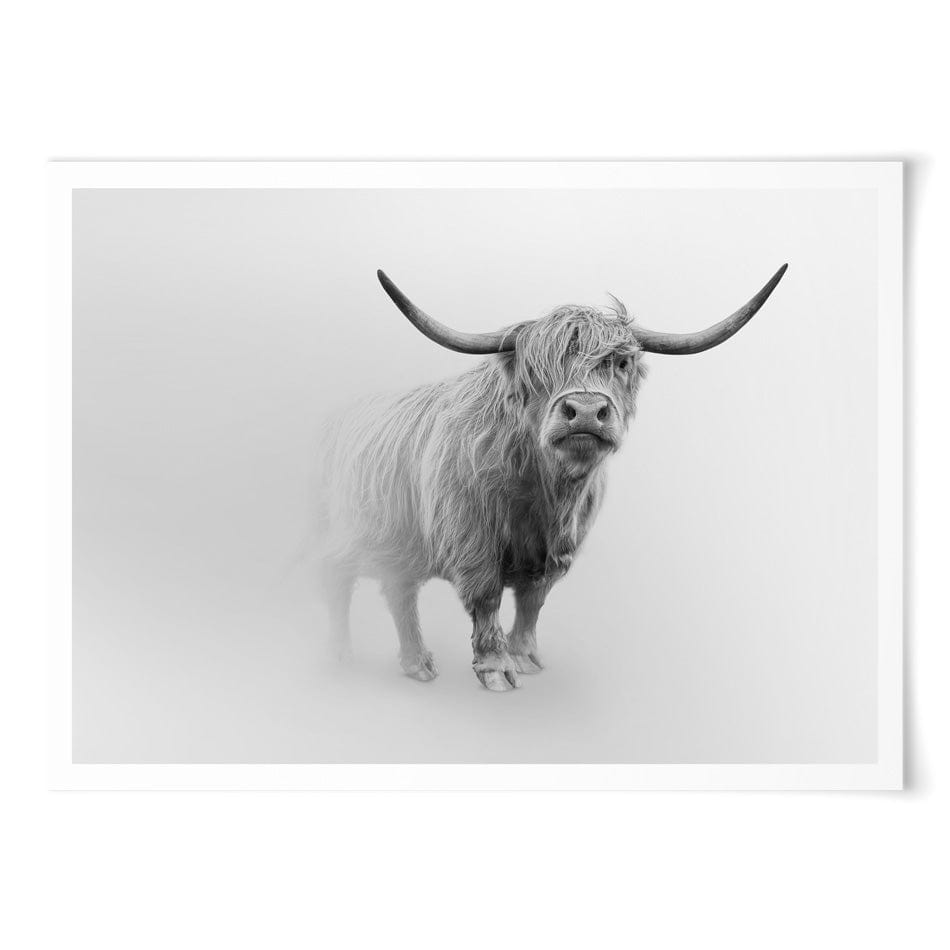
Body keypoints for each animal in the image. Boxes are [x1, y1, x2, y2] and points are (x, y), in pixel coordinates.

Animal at [314, 265, 788, 690]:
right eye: (536, 369)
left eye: (620, 362)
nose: (585, 411)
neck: (544, 490)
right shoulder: (471, 538)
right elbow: (486, 597)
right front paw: (496, 668)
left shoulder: (558, 548)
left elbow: (532, 600)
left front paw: (524, 657)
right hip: (348, 532)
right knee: (337, 576)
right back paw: (339, 655)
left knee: (399, 590)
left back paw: (417, 664)